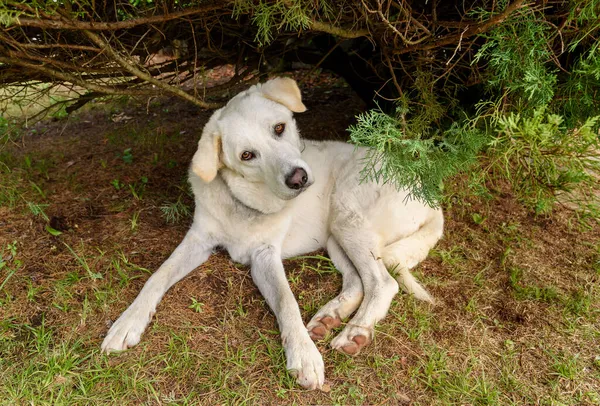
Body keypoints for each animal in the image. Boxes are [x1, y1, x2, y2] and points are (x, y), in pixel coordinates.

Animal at [101, 77, 442, 390]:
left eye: (279, 128)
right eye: (247, 155)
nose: (298, 178)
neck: (244, 204)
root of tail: (428, 193)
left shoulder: (265, 256)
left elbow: (287, 302)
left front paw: (303, 355)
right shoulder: (198, 241)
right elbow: (157, 276)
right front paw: (127, 322)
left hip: (348, 217)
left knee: (383, 283)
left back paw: (355, 332)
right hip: (335, 235)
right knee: (360, 282)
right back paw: (329, 317)